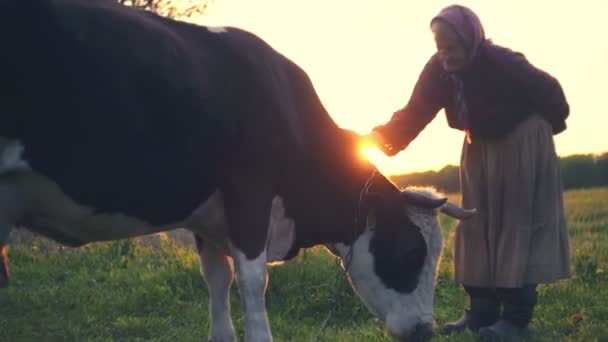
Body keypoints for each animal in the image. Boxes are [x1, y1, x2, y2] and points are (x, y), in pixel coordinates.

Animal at [0, 1, 476, 340]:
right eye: (412, 252)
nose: (425, 331)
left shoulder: (209, 215)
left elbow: (217, 278)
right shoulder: (248, 191)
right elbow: (251, 279)